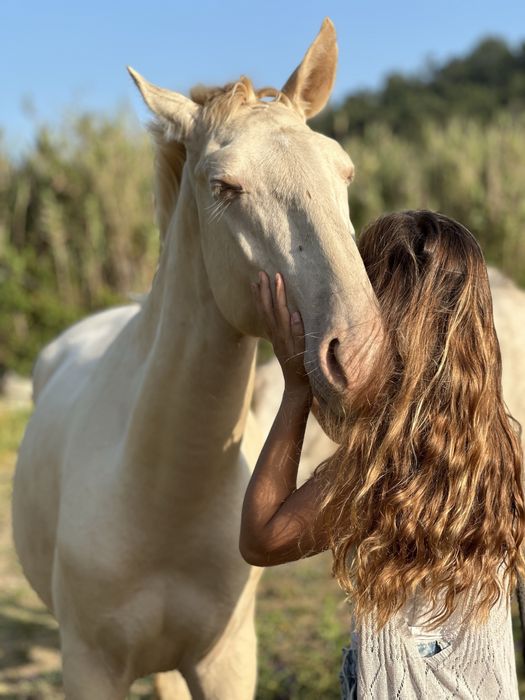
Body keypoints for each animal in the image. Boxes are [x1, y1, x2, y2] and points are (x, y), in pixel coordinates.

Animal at [12, 19, 382, 699]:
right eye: (223, 187)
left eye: (343, 172)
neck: (161, 496)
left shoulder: (226, 660)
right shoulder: (89, 666)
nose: (363, 359)